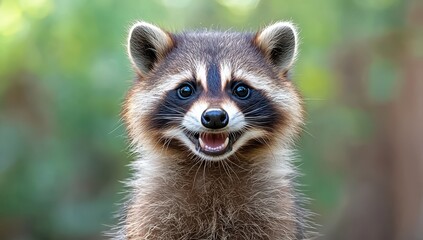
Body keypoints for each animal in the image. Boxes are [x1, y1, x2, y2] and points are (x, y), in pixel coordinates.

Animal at [113, 21, 312, 239]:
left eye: (241, 90)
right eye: (186, 90)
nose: (215, 117)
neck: (213, 165)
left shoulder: (277, 212)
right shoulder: (150, 213)